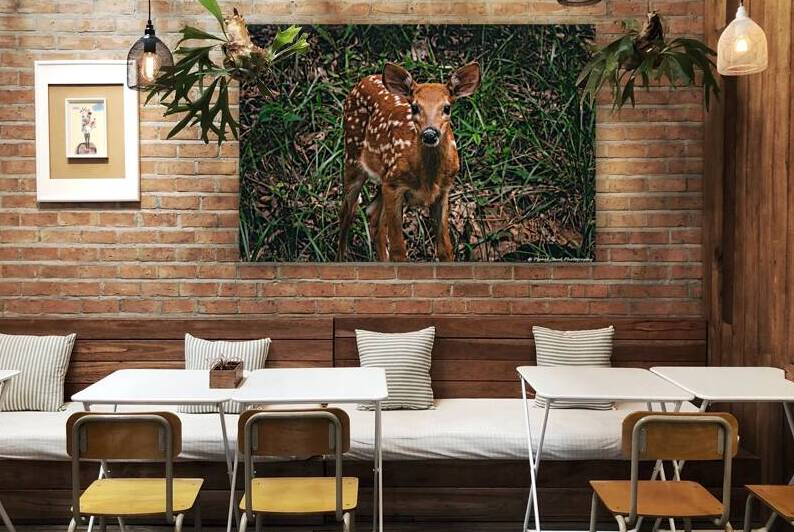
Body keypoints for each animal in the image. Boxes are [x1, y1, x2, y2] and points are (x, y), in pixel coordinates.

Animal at [337, 62, 481, 262]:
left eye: (447, 108)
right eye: (414, 107)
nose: (430, 134)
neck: (428, 178)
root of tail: (364, 80)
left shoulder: (443, 191)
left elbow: (445, 249)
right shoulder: (394, 185)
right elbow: (399, 251)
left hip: (382, 176)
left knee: (373, 214)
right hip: (352, 154)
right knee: (348, 211)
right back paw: (341, 257)